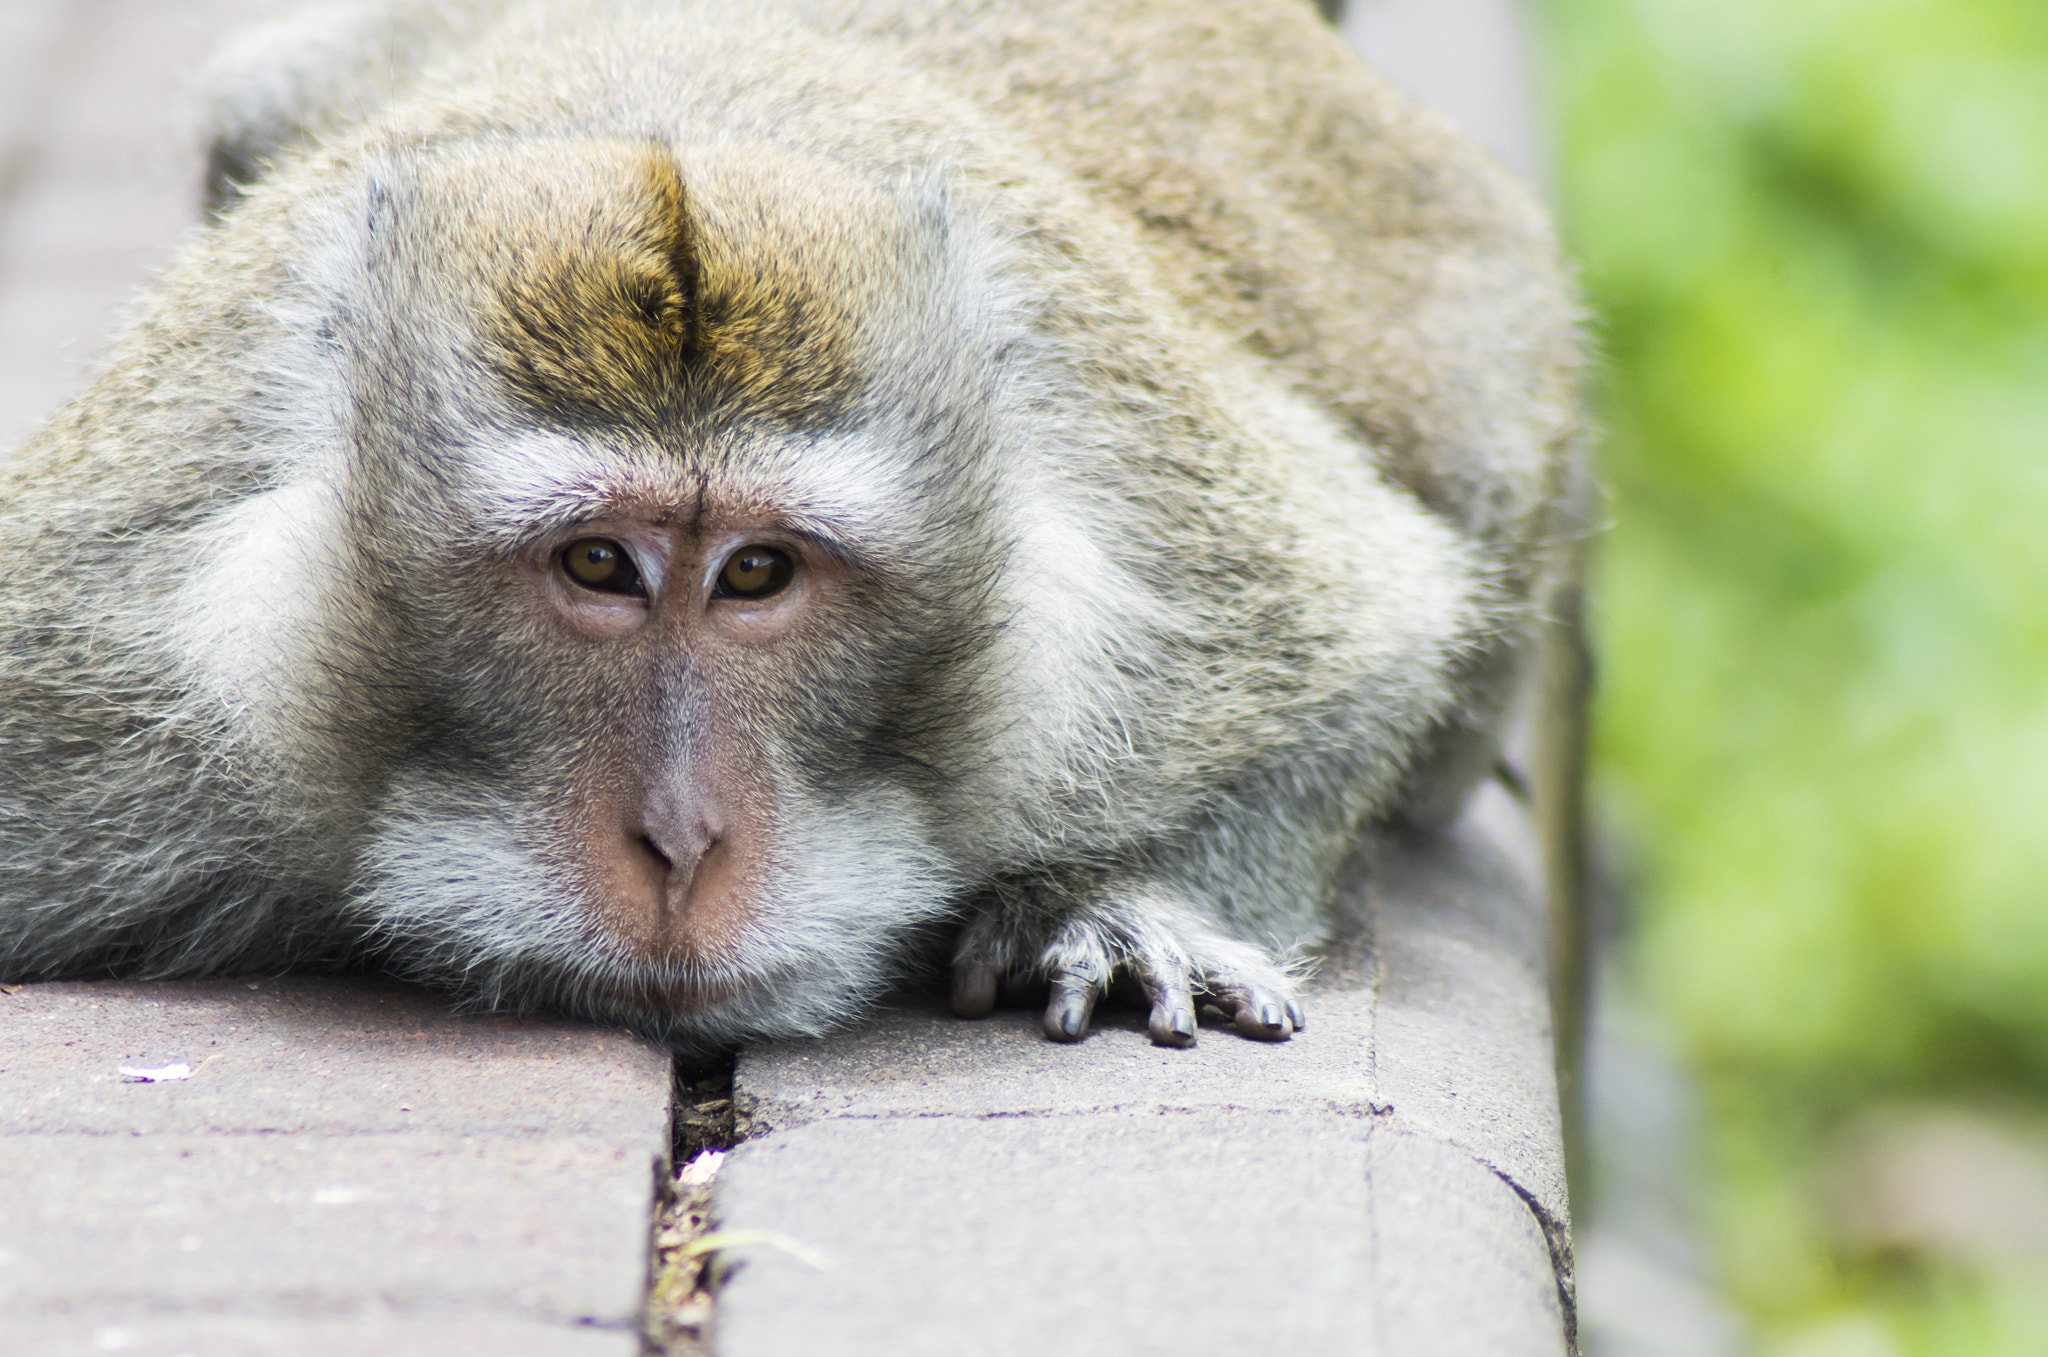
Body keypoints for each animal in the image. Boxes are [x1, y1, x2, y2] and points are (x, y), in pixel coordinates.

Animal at [0, 0, 1579, 1053]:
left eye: (756, 572)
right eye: (598, 565)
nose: (682, 836)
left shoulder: (1146, 559)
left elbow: (1369, 642)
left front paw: (1122, 903)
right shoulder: (100, 672)